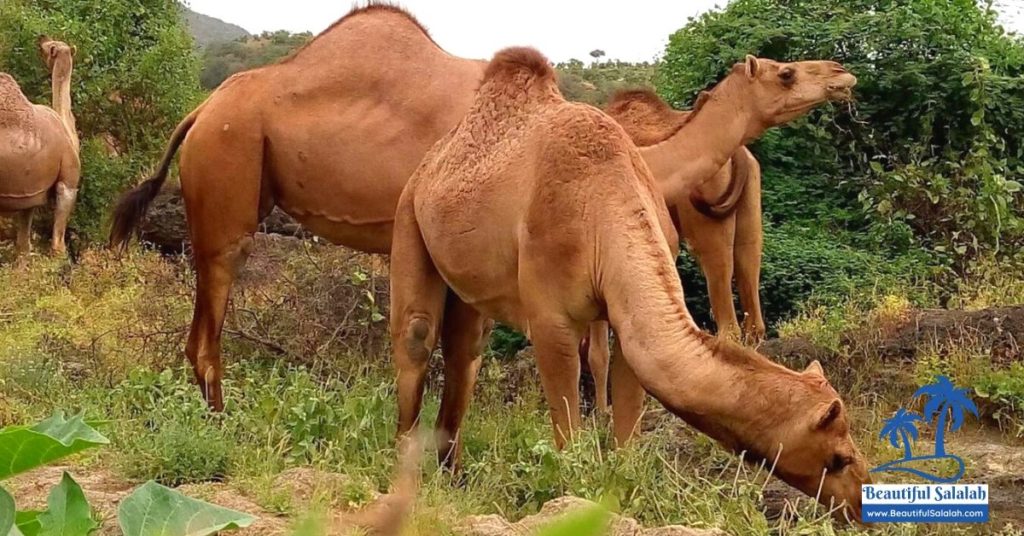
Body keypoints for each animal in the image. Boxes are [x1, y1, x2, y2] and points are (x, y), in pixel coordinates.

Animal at [0, 36, 80, 260]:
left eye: (52, 45)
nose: (42, 37)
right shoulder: (68, 183)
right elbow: (57, 246)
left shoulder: (30, 194)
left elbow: (23, 247)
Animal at [391, 47, 872, 524]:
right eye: (837, 457)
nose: (861, 502)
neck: (605, 198)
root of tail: (431, 162)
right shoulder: (551, 320)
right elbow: (569, 420)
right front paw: (569, 492)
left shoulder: (625, 315)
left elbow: (627, 423)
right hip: (408, 216)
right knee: (417, 338)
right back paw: (407, 475)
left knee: (464, 352)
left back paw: (453, 475)